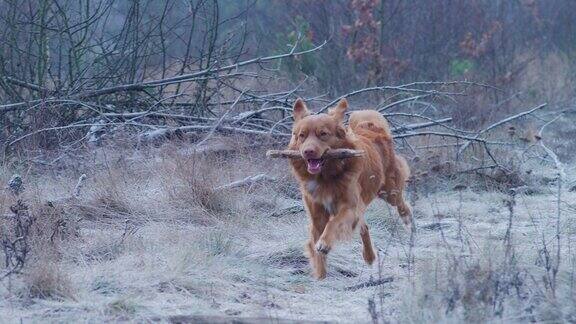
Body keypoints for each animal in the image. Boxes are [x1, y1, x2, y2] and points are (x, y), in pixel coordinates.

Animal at [286, 98, 412, 278]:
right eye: (302, 135)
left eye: (323, 134)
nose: (308, 151)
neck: (326, 177)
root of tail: (370, 126)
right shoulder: (317, 214)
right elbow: (316, 241)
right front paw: (320, 274)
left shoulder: (349, 207)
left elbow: (333, 223)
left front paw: (324, 244)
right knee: (364, 227)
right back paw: (369, 256)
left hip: (389, 191)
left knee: (401, 202)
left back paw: (407, 219)